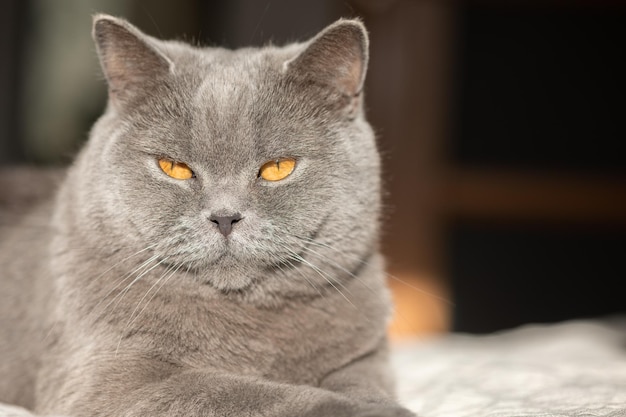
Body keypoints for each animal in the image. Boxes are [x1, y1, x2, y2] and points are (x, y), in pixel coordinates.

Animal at [1, 13, 414, 416]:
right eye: (174, 167)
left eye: (278, 168)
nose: (225, 216)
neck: (249, 320)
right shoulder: (107, 381)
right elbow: (244, 394)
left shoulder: (366, 357)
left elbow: (361, 384)